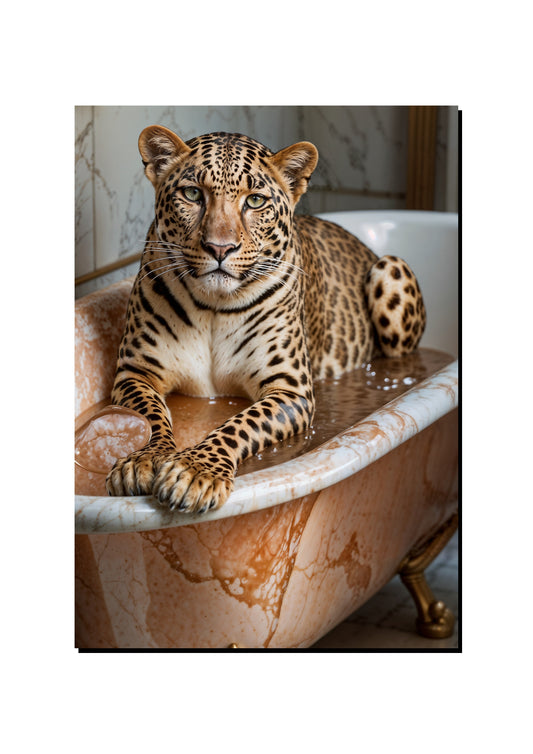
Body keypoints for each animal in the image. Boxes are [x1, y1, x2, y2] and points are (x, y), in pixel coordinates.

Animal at [106, 124, 426, 514]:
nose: (220, 248)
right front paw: (144, 459)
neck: (213, 307)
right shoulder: (135, 372)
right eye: (193, 194)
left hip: (390, 268)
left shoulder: (290, 389)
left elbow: (240, 424)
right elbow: (150, 416)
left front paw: (195, 471)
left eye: (255, 201)